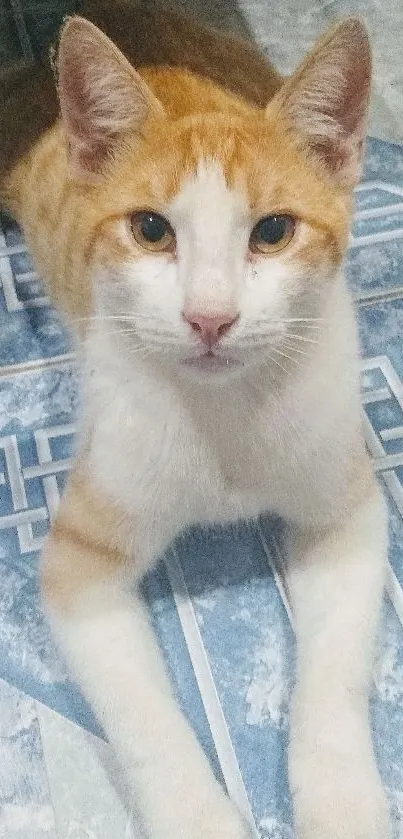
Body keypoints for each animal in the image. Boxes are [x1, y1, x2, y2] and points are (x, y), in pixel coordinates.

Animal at [0, 4, 392, 839]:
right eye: (151, 229)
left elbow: (334, 677)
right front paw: (198, 815)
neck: (222, 410)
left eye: (272, 232)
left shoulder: (345, 508)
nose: (209, 318)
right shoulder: (78, 564)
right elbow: (146, 724)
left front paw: (341, 800)